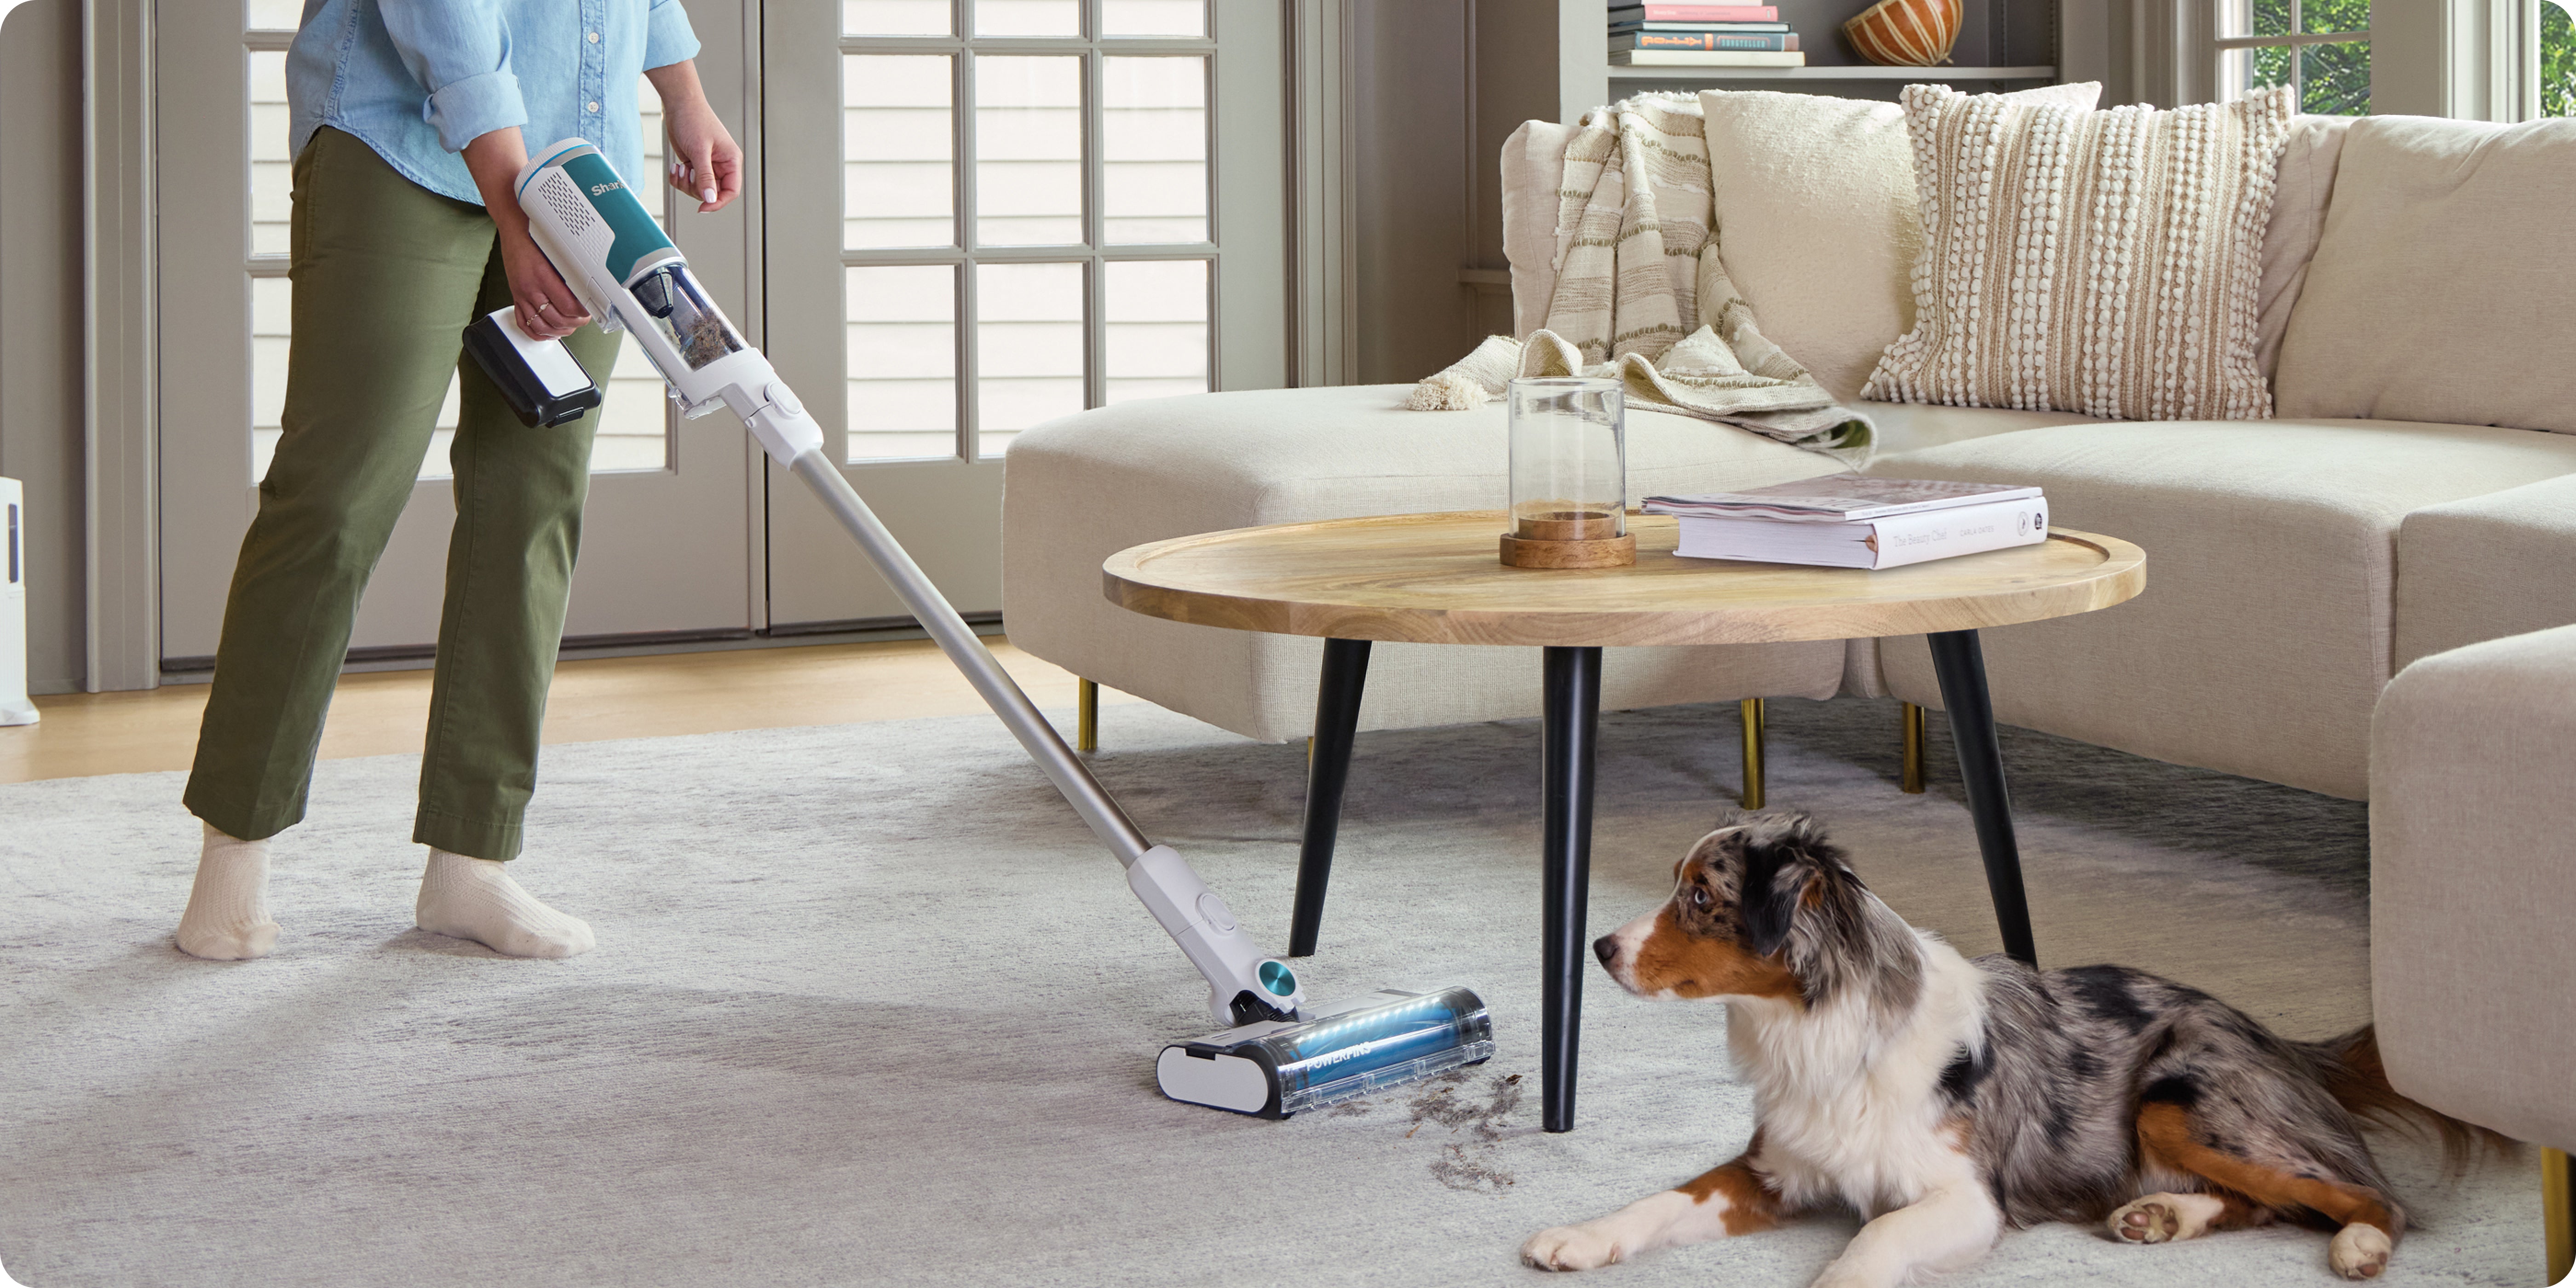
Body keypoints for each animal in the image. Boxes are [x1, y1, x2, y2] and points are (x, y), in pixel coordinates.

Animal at [1514, 809, 2483, 1282]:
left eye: (1701, 898)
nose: (1598, 947)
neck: (1818, 1031)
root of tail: (2281, 1038)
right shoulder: (1773, 1168)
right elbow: (1660, 1200)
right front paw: (1579, 1238)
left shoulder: (1968, 1198)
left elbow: (1874, 1239)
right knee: (2272, 1205)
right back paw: (2161, 1216)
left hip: (2181, 1102)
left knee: (2367, 1198)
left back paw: (2358, 1249)